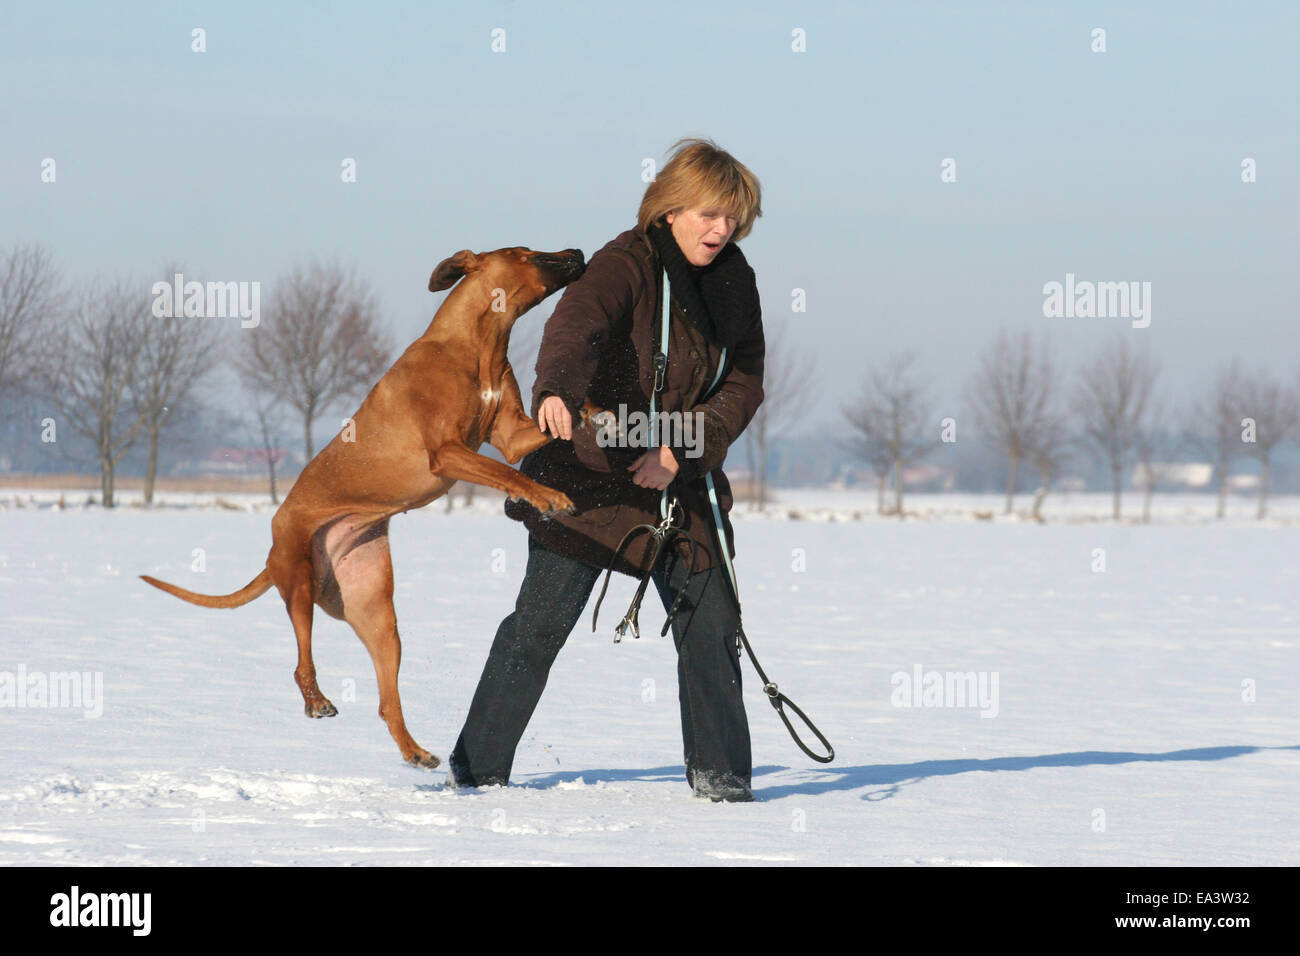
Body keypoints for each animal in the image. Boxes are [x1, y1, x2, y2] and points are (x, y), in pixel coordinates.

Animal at [143, 247, 590, 770]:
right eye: (527, 253)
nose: (578, 252)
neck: (477, 343)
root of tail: (273, 545)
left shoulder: (513, 435)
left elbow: (549, 428)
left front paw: (610, 415)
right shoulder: (448, 452)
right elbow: (508, 472)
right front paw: (549, 497)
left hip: (376, 610)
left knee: (385, 700)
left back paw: (415, 751)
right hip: (298, 578)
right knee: (301, 660)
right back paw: (317, 700)